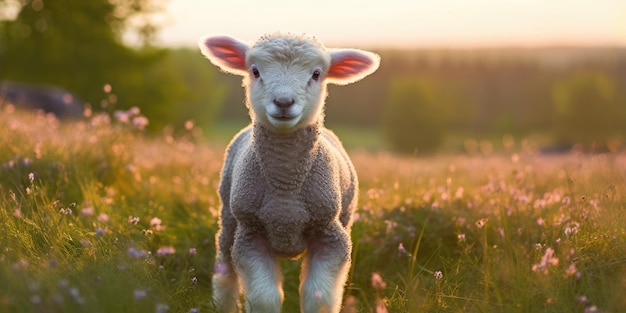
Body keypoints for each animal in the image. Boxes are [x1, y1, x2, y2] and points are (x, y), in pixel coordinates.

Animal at [197, 33, 378, 310]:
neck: (285, 191)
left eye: (316, 74)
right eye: (255, 71)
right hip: (228, 217)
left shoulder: (329, 234)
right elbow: (264, 298)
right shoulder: (250, 233)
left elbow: (319, 297)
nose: (283, 102)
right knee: (225, 269)